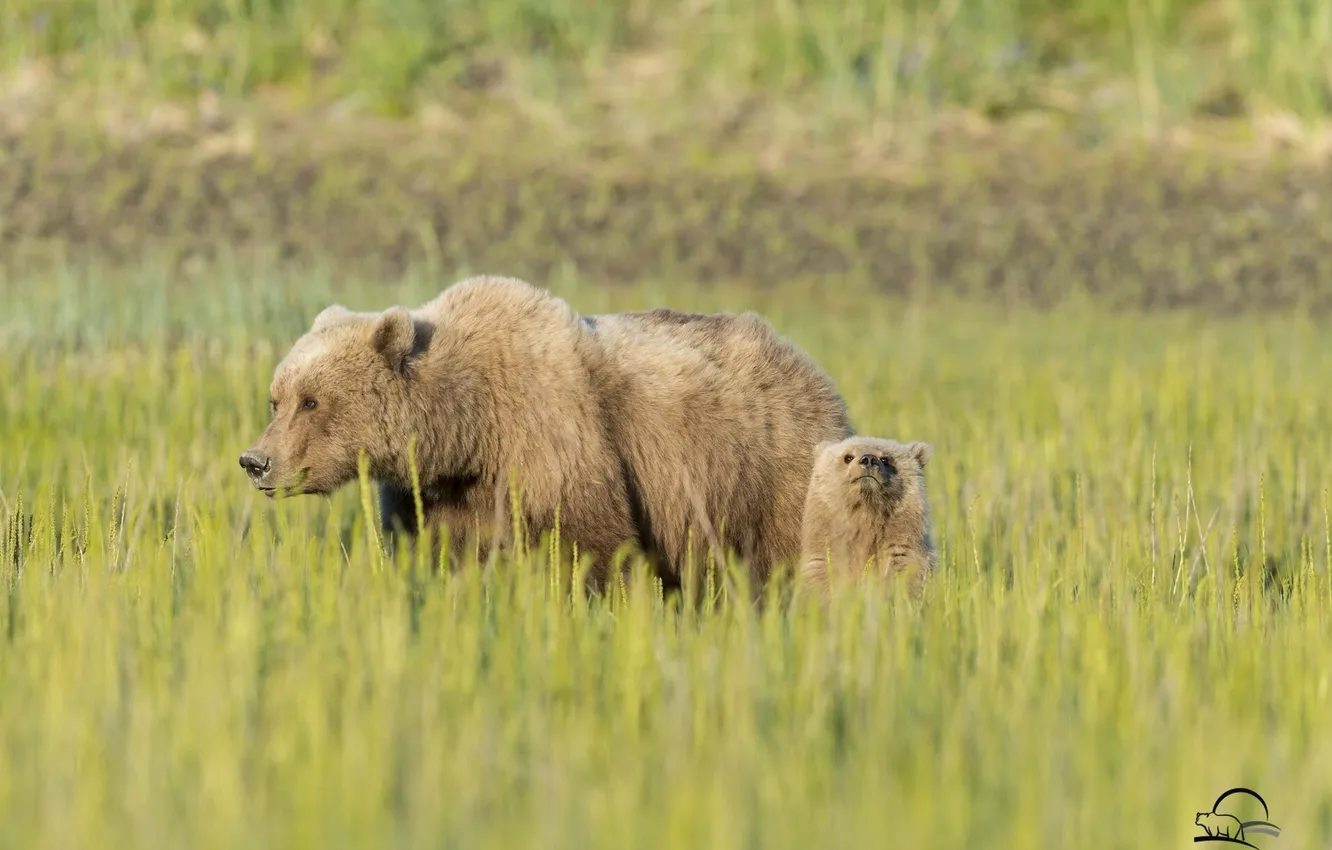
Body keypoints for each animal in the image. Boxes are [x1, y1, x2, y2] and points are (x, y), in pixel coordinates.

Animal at [238, 274, 855, 594]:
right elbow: (437, 555)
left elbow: (590, 547)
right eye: (276, 397)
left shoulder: (555, 439)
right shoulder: (437, 496)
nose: (255, 461)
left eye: (312, 400)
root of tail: (816, 373)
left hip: (766, 477)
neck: (468, 430)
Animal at [797, 436, 937, 598]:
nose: (869, 459)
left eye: (885, 459)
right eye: (848, 457)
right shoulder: (826, 552)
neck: (866, 513)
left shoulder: (901, 548)